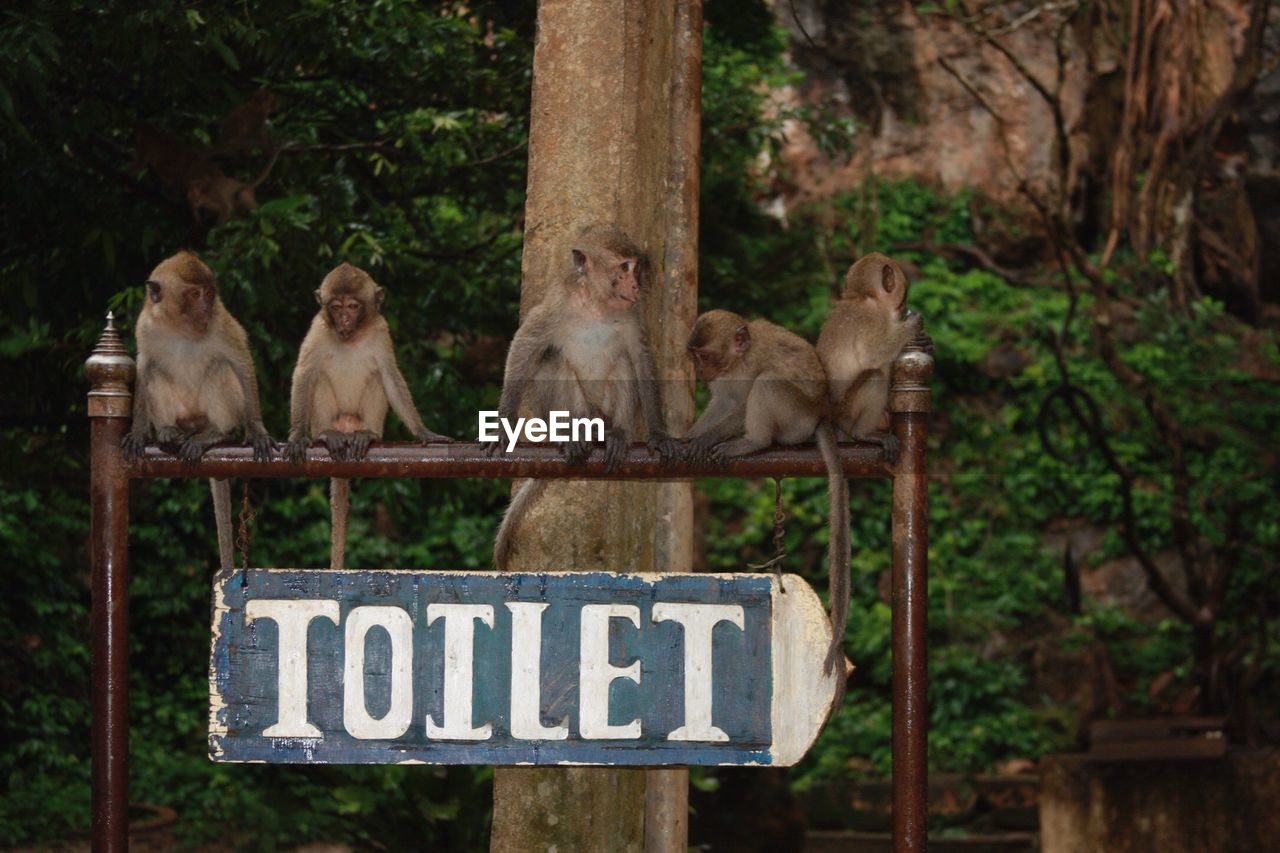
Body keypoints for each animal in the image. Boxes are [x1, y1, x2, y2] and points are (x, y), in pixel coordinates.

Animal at [120, 252, 273, 571]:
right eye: (193, 295)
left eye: (208, 294)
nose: (204, 307)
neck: (179, 327)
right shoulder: (145, 327)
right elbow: (143, 365)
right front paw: (138, 432)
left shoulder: (219, 321)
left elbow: (240, 360)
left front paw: (256, 430)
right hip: (184, 415)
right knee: (155, 370)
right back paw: (167, 432)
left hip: (210, 413)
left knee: (220, 367)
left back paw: (216, 434)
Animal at [289, 262, 455, 568]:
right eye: (336, 307)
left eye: (353, 306)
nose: (343, 321)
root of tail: (346, 427)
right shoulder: (318, 328)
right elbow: (305, 373)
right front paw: (295, 436)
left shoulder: (381, 329)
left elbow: (389, 375)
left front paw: (423, 431)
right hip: (327, 419)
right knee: (318, 379)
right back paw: (325, 435)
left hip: (361, 420)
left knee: (377, 378)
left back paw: (368, 435)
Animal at [486, 222, 680, 571]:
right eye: (623, 268)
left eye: (634, 268)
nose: (634, 283)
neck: (596, 305)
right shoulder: (557, 302)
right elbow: (525, 345)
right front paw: (503, 424)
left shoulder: (632, 314)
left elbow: (641, 359)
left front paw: (658, 434)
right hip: (568, 409)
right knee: (552, 358)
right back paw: (573, 433)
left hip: (606, 409)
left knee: (623, 363)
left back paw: (617, 434)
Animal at [686, 307, 855, 676]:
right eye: (695, 357)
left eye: (705, 356)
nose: (700, 373)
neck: (738, 358)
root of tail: (822, 414)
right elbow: (722, 403)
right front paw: (682, 439)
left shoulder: (748, 368)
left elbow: (738, 406)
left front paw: (701, 441)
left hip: (795, 418)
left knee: (767, 384)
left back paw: (753, 442)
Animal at [819, 251, 921, 461]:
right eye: (904, 296)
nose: (905, 306)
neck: (864, 297)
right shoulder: (873, 318)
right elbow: (871, 356)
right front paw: (911, 326)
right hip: (846, 414)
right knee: (875, 376)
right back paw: (863, 434)